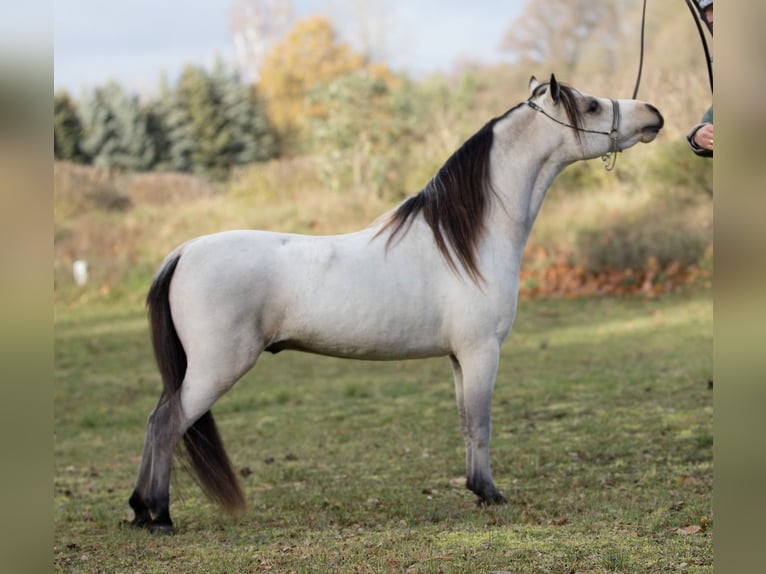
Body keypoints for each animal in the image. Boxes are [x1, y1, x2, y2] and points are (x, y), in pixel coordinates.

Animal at [127, 74, 663, 534]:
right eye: (590, 105)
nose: (652, 114)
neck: (467, 242)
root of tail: (182, 253)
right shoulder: (481, 351)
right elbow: (482, 424)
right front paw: (491, 494)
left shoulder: (458, 357)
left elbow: (466, 423)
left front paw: (476, 488)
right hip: (216, 368)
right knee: (167, 424)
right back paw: (160, 516)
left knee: (156, 420)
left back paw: (140, 510)